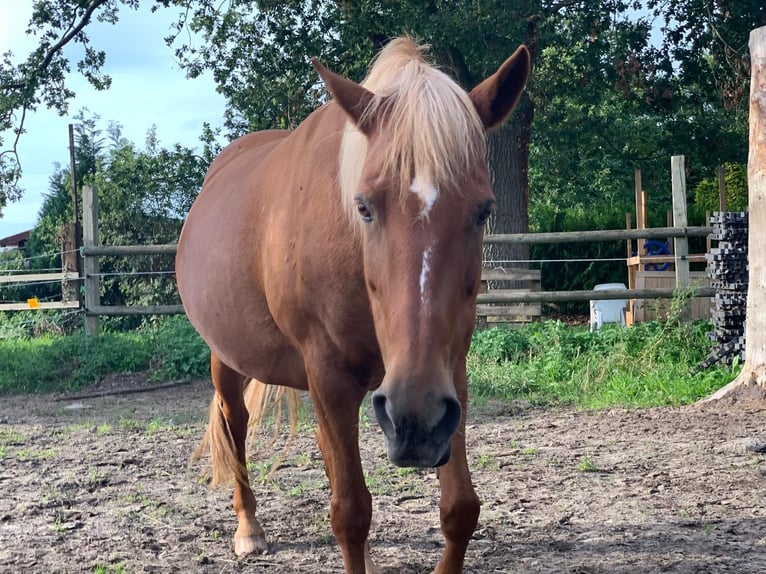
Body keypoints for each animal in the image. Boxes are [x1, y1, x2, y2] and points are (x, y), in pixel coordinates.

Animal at [176, 37, 529, 574]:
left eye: (483, 210)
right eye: (363, 207)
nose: (415, 417)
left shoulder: (450, 373)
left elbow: (460, 508)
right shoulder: (329, 375)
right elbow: (351, 512)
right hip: (228, 361)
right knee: (235, 428)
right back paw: (249, 529)